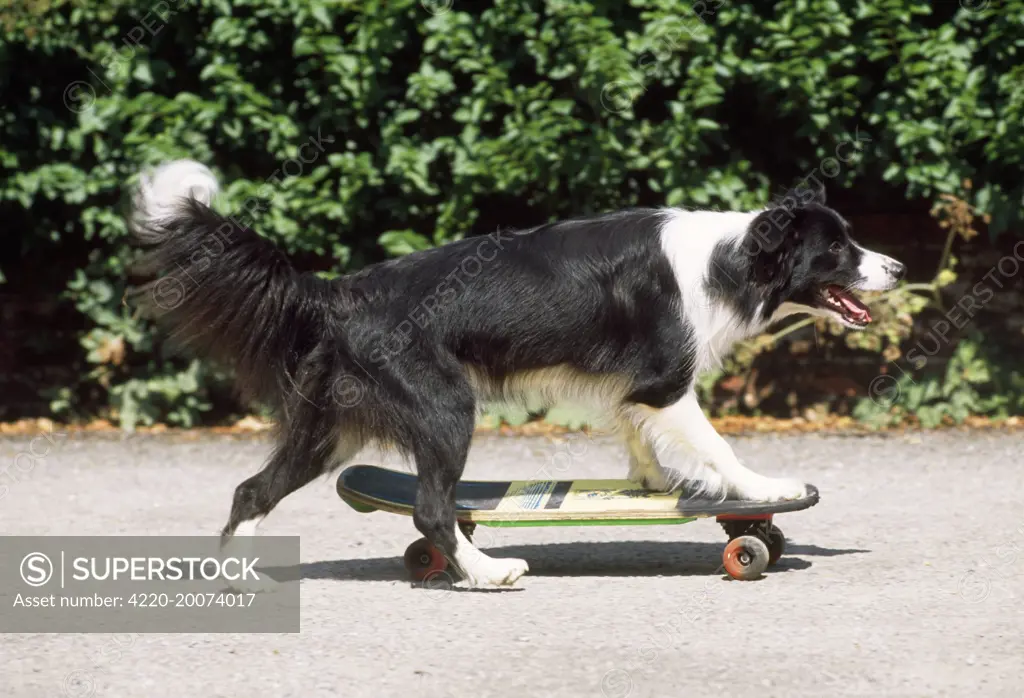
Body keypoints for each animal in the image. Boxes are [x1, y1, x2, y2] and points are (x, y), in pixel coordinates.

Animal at [128, 160, 905, 585]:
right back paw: (487, 573)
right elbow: (718, 448)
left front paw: (654, 486)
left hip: (331, 427)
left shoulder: (630, 389)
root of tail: (341, 291)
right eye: (838, 248)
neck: (734, 258)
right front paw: (764, 490)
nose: (899, 267)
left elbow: (640, 437)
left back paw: (238, 577)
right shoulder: (663, 381)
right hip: (445, 408)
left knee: (252, 489)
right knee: (431, 509)